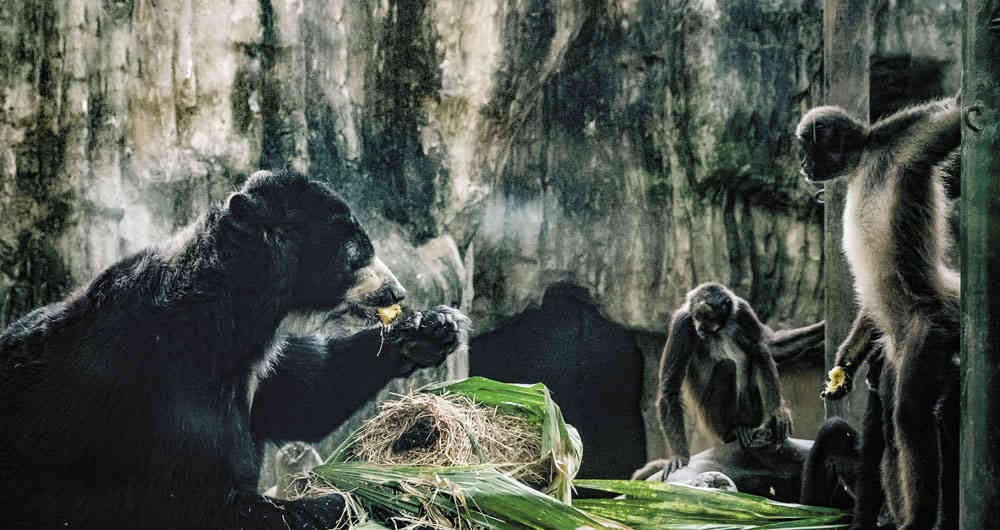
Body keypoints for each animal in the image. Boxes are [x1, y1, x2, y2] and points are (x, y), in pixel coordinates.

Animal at [0, 170, 470, 529]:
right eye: (358, 251)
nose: (397, 290)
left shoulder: (251, 369)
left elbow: (301, 394)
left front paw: (433, 327)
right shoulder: (164, 393)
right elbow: (197, 501)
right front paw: (378, 498)